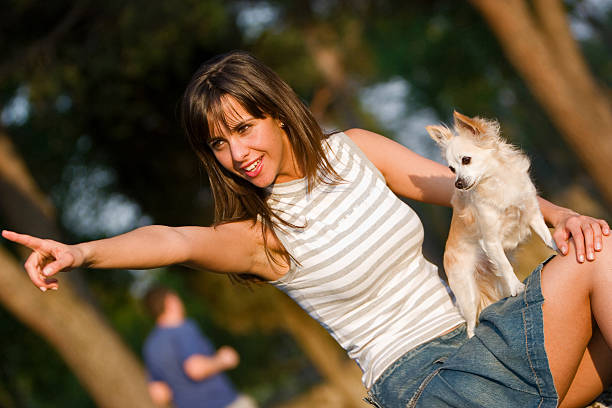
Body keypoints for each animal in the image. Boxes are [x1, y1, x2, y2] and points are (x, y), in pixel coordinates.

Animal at [428, 112, 556, 338]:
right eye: (451, 169)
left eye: (466, 160)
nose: (457, 183)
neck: (496, 180)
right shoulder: (491, 240)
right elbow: (504, 264)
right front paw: (516, 287)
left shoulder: (532, 213)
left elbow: (546, 237)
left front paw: (559, 249)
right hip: (468, 294)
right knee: (471, 325)